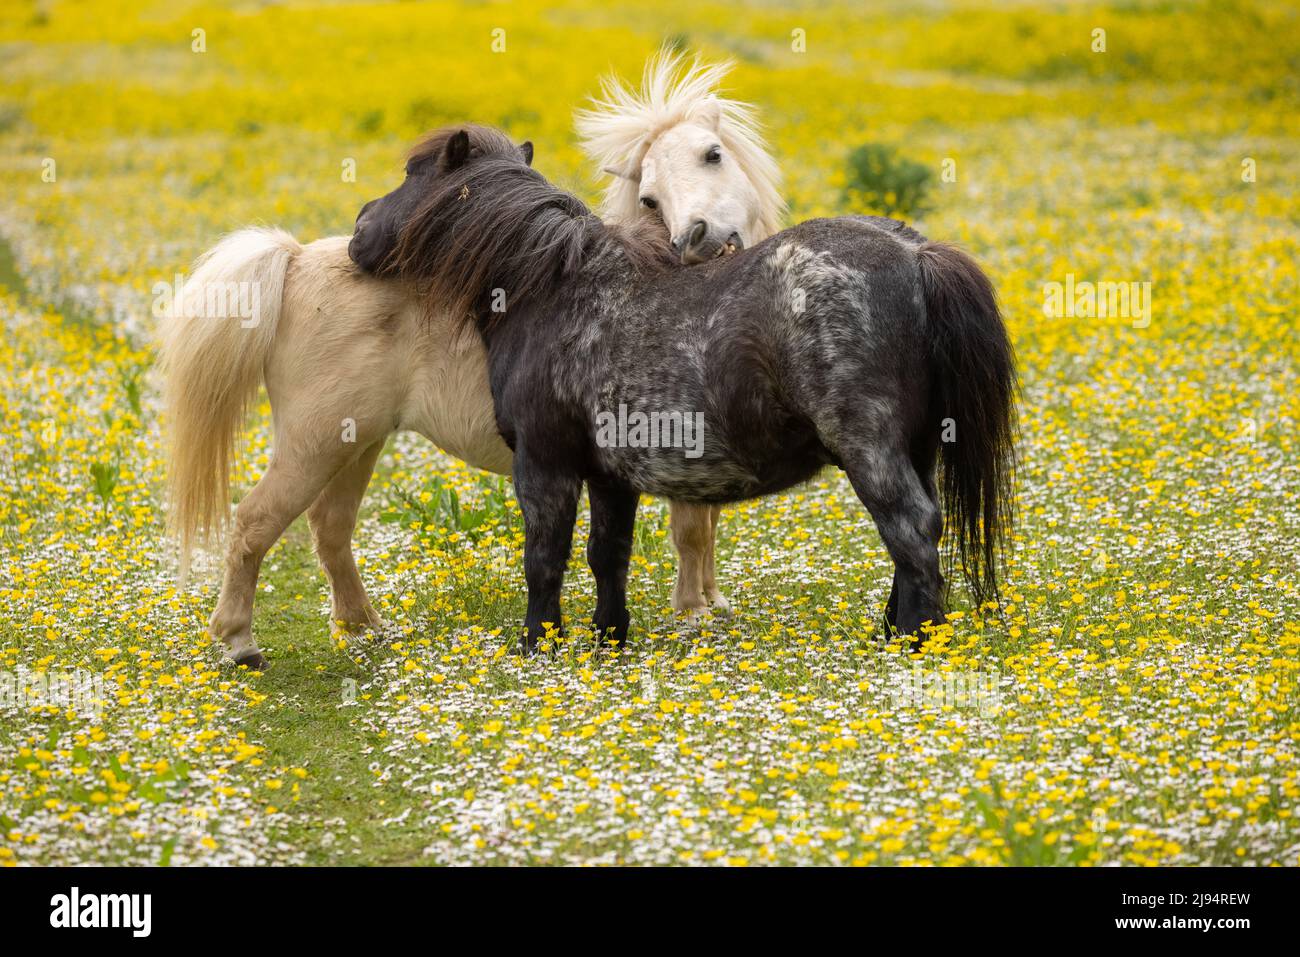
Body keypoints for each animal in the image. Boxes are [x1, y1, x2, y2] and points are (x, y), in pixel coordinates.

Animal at [156, 50, 774, 665]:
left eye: (713, 154)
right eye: (648, 195)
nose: (697, 237)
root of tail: (297, 259)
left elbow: (701, 528)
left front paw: (709, 602)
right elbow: (690, 530)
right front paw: (692, 613)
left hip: (357, 440)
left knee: (330, 526)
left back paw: (364, 627)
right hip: (314, 443)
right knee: (254, 522)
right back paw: (240, 642)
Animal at [353, 123, 1013, 655]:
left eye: (411, 174)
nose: (360, 228)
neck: (554, 289)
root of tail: (915, 252)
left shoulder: (545, 465)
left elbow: (544, 559)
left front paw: (537, 646)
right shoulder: (610, 476)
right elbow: (607, 556)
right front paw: (607, 642)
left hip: (869, 449)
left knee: (912, 530)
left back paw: (915, 643)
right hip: (918, 448)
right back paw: (894, 632)